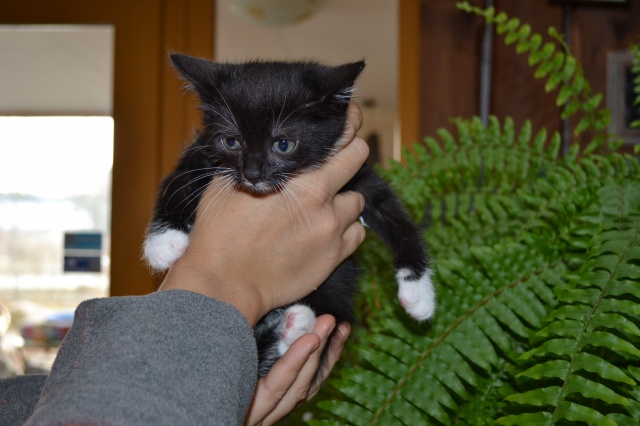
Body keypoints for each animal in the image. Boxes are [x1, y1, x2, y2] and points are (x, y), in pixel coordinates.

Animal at [143, 53, 436, 378]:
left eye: (283, 144)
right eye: (231, 142)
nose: (252, 174)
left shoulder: (360, 179)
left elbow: (396, 218)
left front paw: (419, 291)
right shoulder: (202, 149)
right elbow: (179, 178)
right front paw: (162, 242)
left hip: (334, 288)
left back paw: (296, 326)